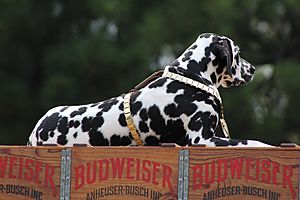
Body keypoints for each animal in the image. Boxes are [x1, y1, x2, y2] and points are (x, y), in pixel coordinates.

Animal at [27, 33, 272, 147]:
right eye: (238, 53)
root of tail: (35, 132)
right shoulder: (202, 139)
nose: (253, 69)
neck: (190, 77)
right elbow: (250, 142)